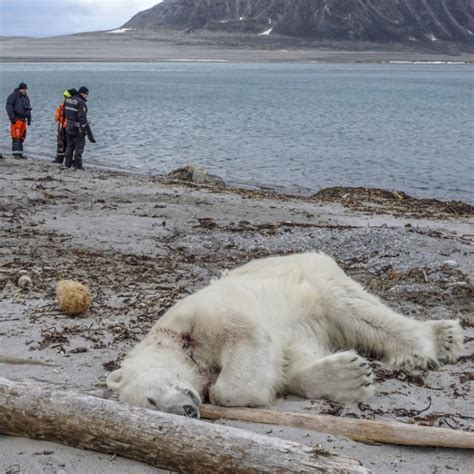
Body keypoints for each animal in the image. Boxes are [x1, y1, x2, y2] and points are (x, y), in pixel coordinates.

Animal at [106, 254, 462, 416]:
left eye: (151, 400)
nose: (187, 410)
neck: (175, 340)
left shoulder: (199, 316)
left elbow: (244, 338)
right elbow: (290, 361)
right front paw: (349, 376)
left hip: (315, 277)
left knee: (356, 309)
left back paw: (435, 341)